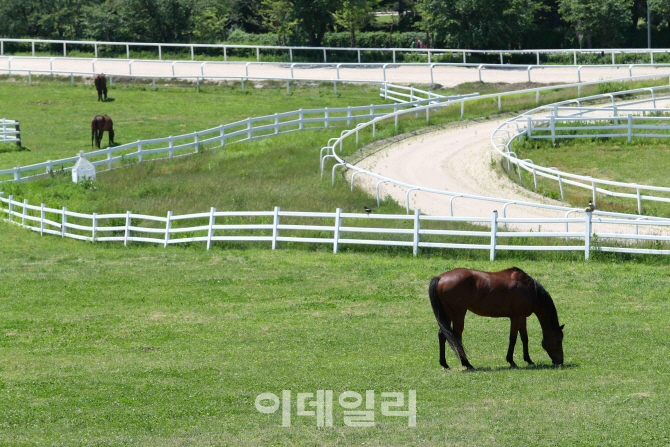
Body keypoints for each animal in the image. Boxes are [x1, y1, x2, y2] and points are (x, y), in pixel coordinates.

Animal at [430, 268, 568, 370]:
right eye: (558, 340)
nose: (560, 361)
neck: (529, 289)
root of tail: (440, 277)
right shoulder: (516, 317)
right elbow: (513, 339)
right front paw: (511, 361)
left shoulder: (522, 317)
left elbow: (524, 338)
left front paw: (528, 360)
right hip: (458, 315)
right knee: (456, 337)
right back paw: (467, 364)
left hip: (447, 316)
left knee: (443, 335)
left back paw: (445, 364)